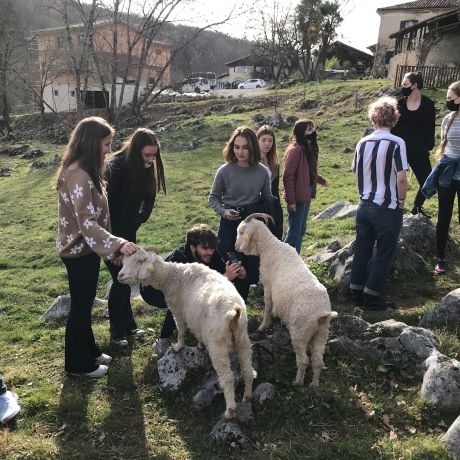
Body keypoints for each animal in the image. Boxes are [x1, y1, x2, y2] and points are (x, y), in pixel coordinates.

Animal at [117, 248, 255, 420]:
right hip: (243, 339)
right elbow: (197, 332)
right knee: (248, 370)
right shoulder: (196, 319)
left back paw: (230, 410)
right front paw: (200, 345)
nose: (120, 275)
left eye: (138, 261)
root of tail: (233, 314)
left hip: (218, 344)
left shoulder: (178, 311)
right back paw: (247, 396)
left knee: (227, 377)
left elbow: (181, 330)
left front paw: (177, 347)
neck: (172, 276)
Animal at [235, 214, 336, 386]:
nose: (235, 247)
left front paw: (263, 326)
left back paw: (298, 382)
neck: (270, 246)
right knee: (317, 361)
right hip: (321, 334)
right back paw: (314, 385)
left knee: (303, 360)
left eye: (241, 231)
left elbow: (268, 306)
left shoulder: (268, 285)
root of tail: (321, 315)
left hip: (300, 333)